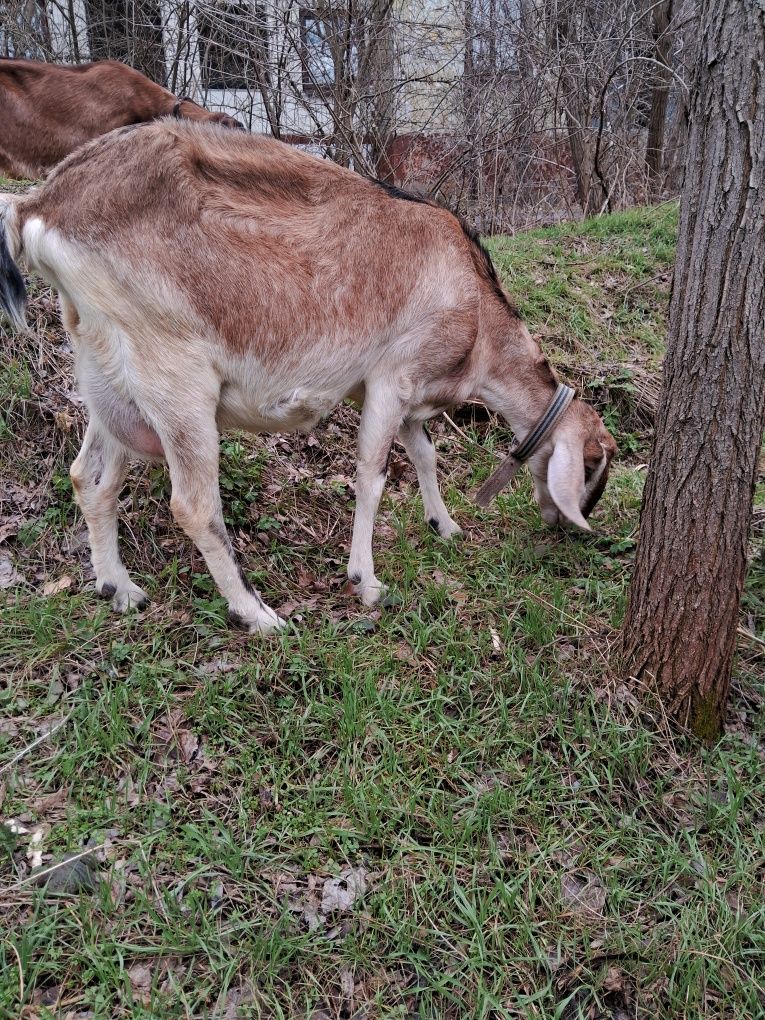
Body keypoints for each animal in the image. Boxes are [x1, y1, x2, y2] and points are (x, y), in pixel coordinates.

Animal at [0, 119, 616, 628]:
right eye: (590, 465)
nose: (567, 525)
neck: (476, 314)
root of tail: (38, 205)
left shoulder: (405, 392)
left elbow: (424, 454)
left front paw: (445, 526)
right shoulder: (391, 378)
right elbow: (372, 475)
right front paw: (366, 582)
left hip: (105, 372)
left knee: (89, 477)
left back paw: (119, 588)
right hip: (173, 376)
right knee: (193, 506)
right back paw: (255, 613)